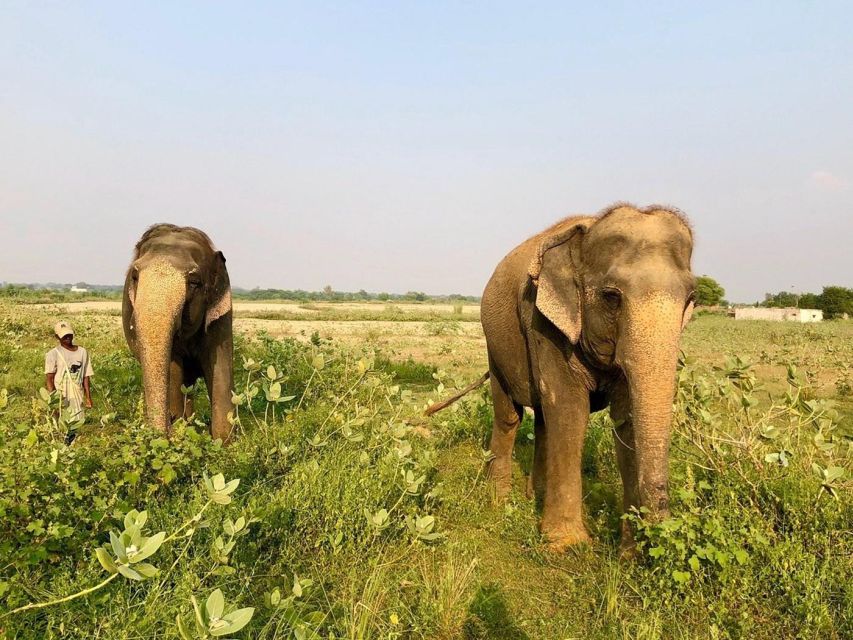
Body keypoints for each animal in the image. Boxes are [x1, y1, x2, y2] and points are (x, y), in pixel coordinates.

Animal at [122, 224, 234, 442]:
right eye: (135, 276)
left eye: (194, 282)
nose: (166, 430)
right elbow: (173, 369)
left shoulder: (221, 315)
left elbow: (220, 367)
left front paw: (224, 443)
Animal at [426, 203, 695, 554]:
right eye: (611, 296)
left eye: (691, 298)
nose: (656, 533)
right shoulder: (543, 323)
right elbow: (569, 408)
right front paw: (567, 546)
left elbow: (625, 419)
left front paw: (629, 554)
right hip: (495, 346)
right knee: (509, 415)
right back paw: (499, 500)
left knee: (542, 420)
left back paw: (534, 496)